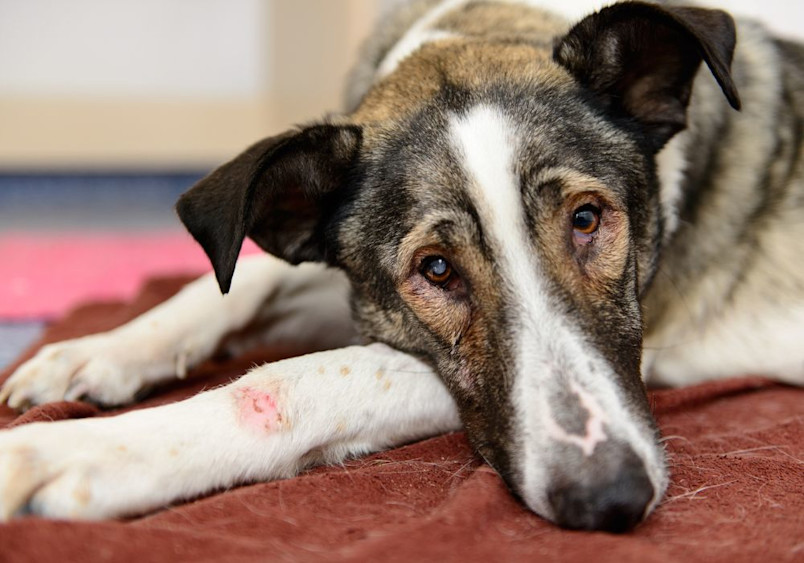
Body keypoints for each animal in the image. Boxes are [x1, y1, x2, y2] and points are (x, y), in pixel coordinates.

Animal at [1, 0, 804, 532]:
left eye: (586, 220)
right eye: (437, 269)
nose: (609, 499)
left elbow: (296, 380)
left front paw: (77, 452)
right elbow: (245, 276)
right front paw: (96, 350)